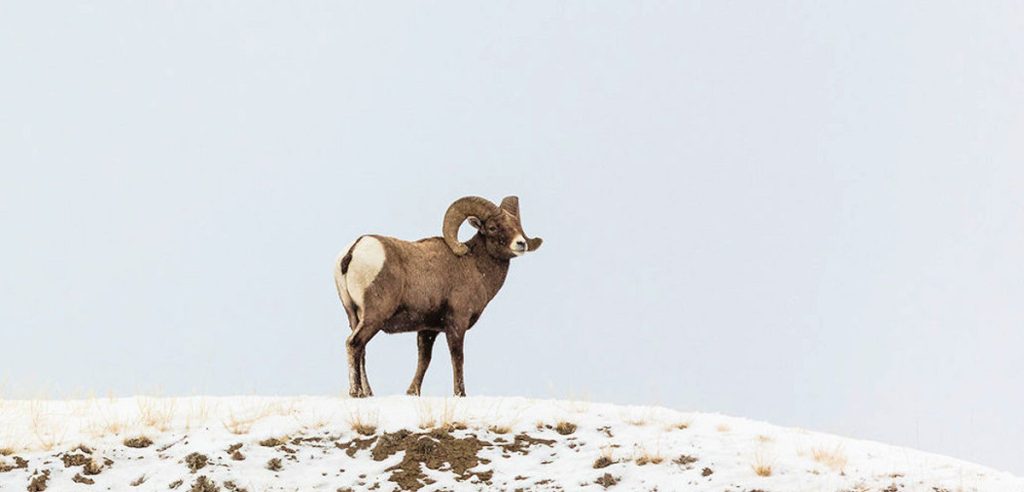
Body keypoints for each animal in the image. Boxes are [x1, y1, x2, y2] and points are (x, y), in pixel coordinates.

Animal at [333, 195, 543, 397]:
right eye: (492, 227)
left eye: (517, 225)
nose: (521, 244)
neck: (474, 265)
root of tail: (353, 251)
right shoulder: (457, 323)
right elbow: (457, 357)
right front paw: (460, 393)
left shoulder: (427, 329)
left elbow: (424, 360)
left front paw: (413, 392)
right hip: (374, 316)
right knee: (354, 344)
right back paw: (356, 392)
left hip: (354, 316)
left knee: (361, 351)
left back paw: (367, 393)